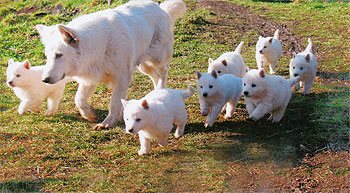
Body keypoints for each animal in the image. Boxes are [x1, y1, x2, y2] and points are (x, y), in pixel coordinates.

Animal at [36, 0, 186, 130]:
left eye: (59, 55)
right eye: (47, 56)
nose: (44, 80)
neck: (100, 45)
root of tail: (161, 8)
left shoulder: (121, 78)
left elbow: (114, 103)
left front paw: (107, 122)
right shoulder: (90, 78)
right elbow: (79, 99)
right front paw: (89, 114)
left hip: (158, 58)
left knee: (163, 72)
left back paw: (161, 90)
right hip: (143, 66)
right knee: (155, 76)